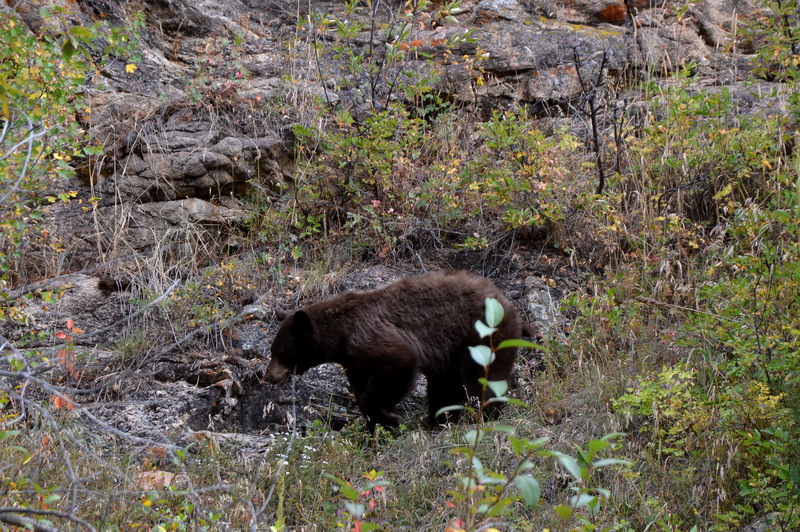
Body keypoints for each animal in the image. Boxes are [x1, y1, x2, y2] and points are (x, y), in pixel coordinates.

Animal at [268, 270, 532, 428]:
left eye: (279, 352)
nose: (268, 376)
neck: (341, 335)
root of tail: (511, 307)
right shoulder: (354, 361)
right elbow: (360, 386)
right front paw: (376, 426)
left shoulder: (372, 338)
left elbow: (397, 363)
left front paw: (389, 417)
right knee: (444, 386)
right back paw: (436, 420)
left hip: (483, 336)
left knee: (483, 379)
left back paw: (483, 416)